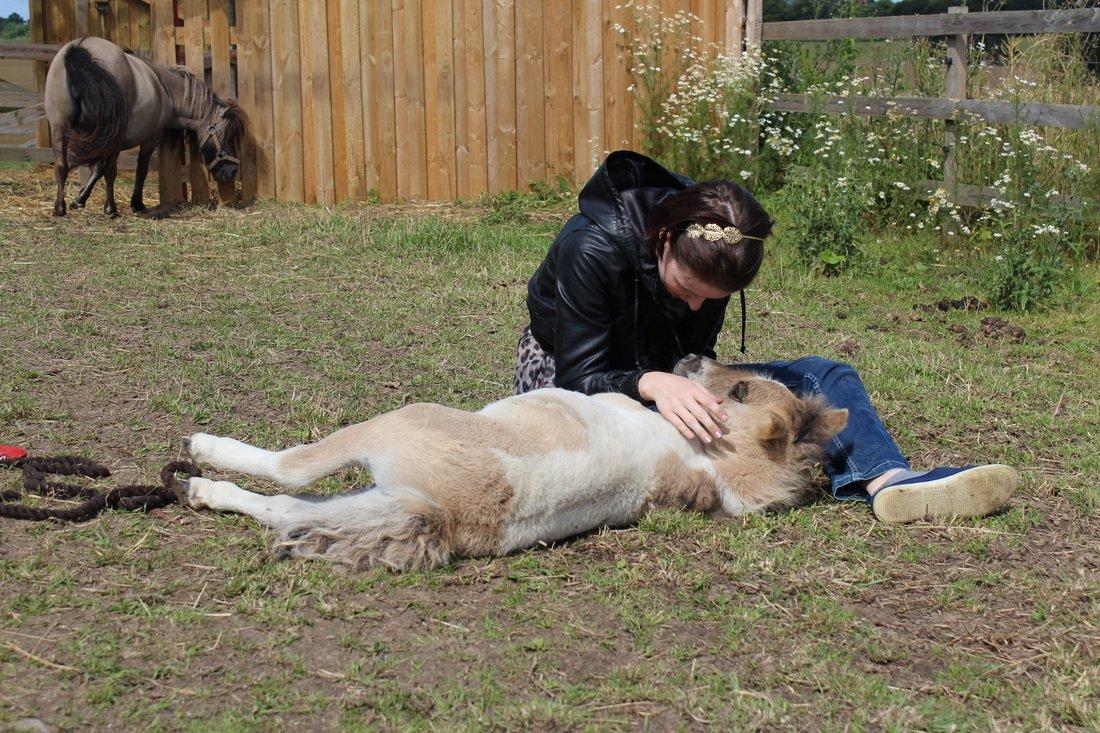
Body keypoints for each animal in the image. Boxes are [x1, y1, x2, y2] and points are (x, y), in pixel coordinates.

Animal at [44, 36, 246, 215]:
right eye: (226, 135)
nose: (232, 171)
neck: (165, 91)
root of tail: (79, 48)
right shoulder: (149, 139)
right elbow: (137, 170)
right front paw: (136, 204)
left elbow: (95, 168)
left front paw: (79, 199)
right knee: (108, 170)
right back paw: (111, 209)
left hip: (59, 129)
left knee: (61, 165)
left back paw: (59, 208)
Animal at [182, 354, 849, 572]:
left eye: (738, 392)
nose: (690, 357)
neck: (706, 462)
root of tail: (447, 514)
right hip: (374, 499)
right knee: (284, 509)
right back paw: (200, 492)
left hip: (387, 427)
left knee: (288, 474)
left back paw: (201, 453)